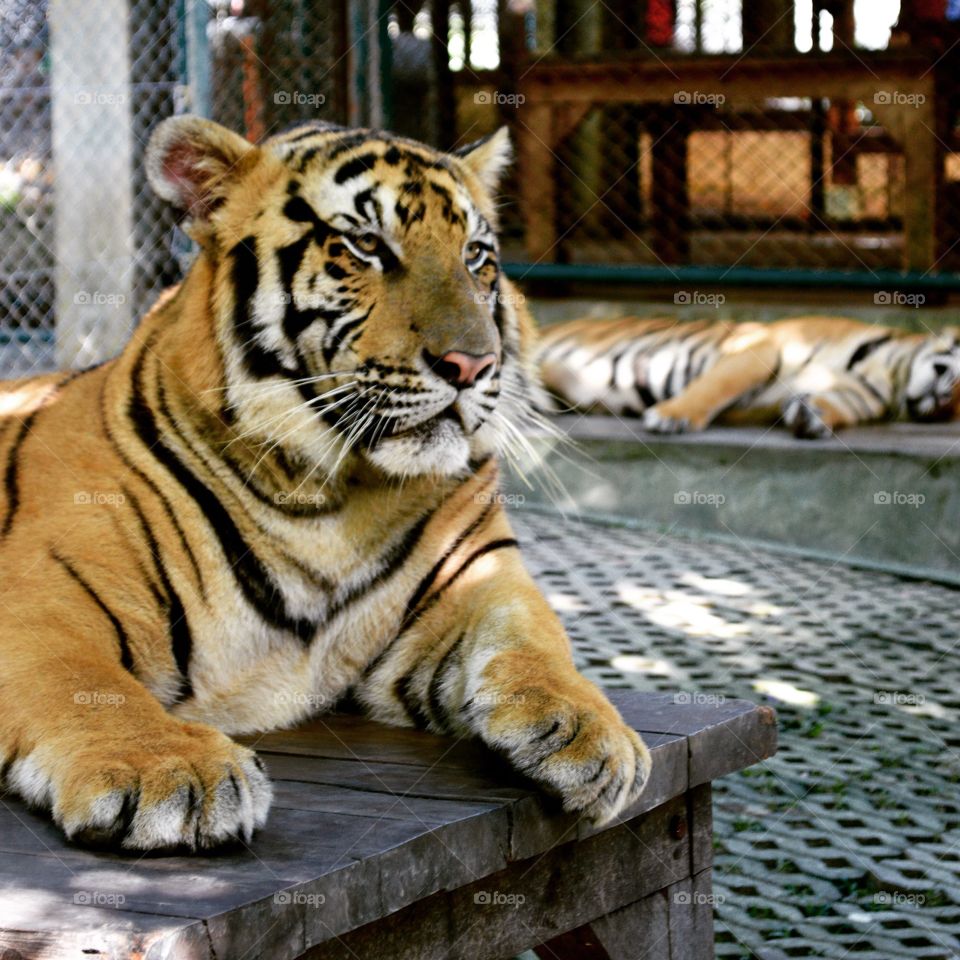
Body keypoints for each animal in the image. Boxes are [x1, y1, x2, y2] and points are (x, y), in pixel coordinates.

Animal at [0, 117, 650, 851]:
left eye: (476, 255)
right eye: (366, 245)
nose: (472, 364)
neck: (334, 495)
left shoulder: (479, 576)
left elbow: (536, 637)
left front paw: (595, 734)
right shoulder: (43, 593)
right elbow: (81, 680)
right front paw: (170, 769)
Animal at [536, 314, 960, 438]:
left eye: (956, 409)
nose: (943, 400)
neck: (892, 374)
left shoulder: (856, 396)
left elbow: (835, 405)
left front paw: (813, 416)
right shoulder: (765, 345)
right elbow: (717, 385)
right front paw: (672, 416)